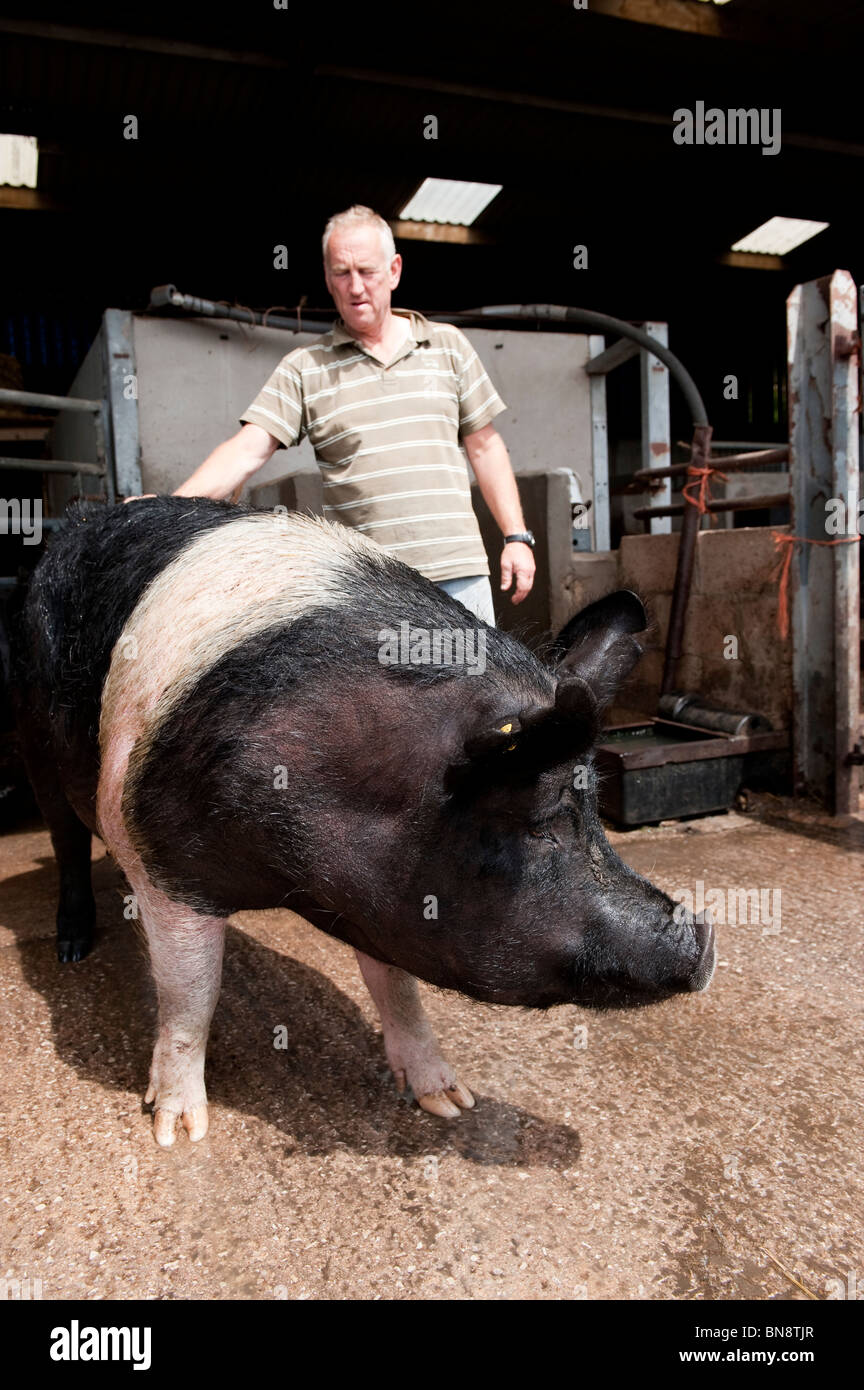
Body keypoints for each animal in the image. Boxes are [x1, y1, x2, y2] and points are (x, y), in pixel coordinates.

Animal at [8, 497, 715, 1147]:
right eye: (542, 821)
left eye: (594, 809)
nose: (705, 940)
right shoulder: (162, 861)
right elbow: (192, 994)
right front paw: (179, 1132)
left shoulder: (380, 900)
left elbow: (395, 984)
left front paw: (451, 1104)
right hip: (36, 746)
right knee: (65, 842)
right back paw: (72, 948)